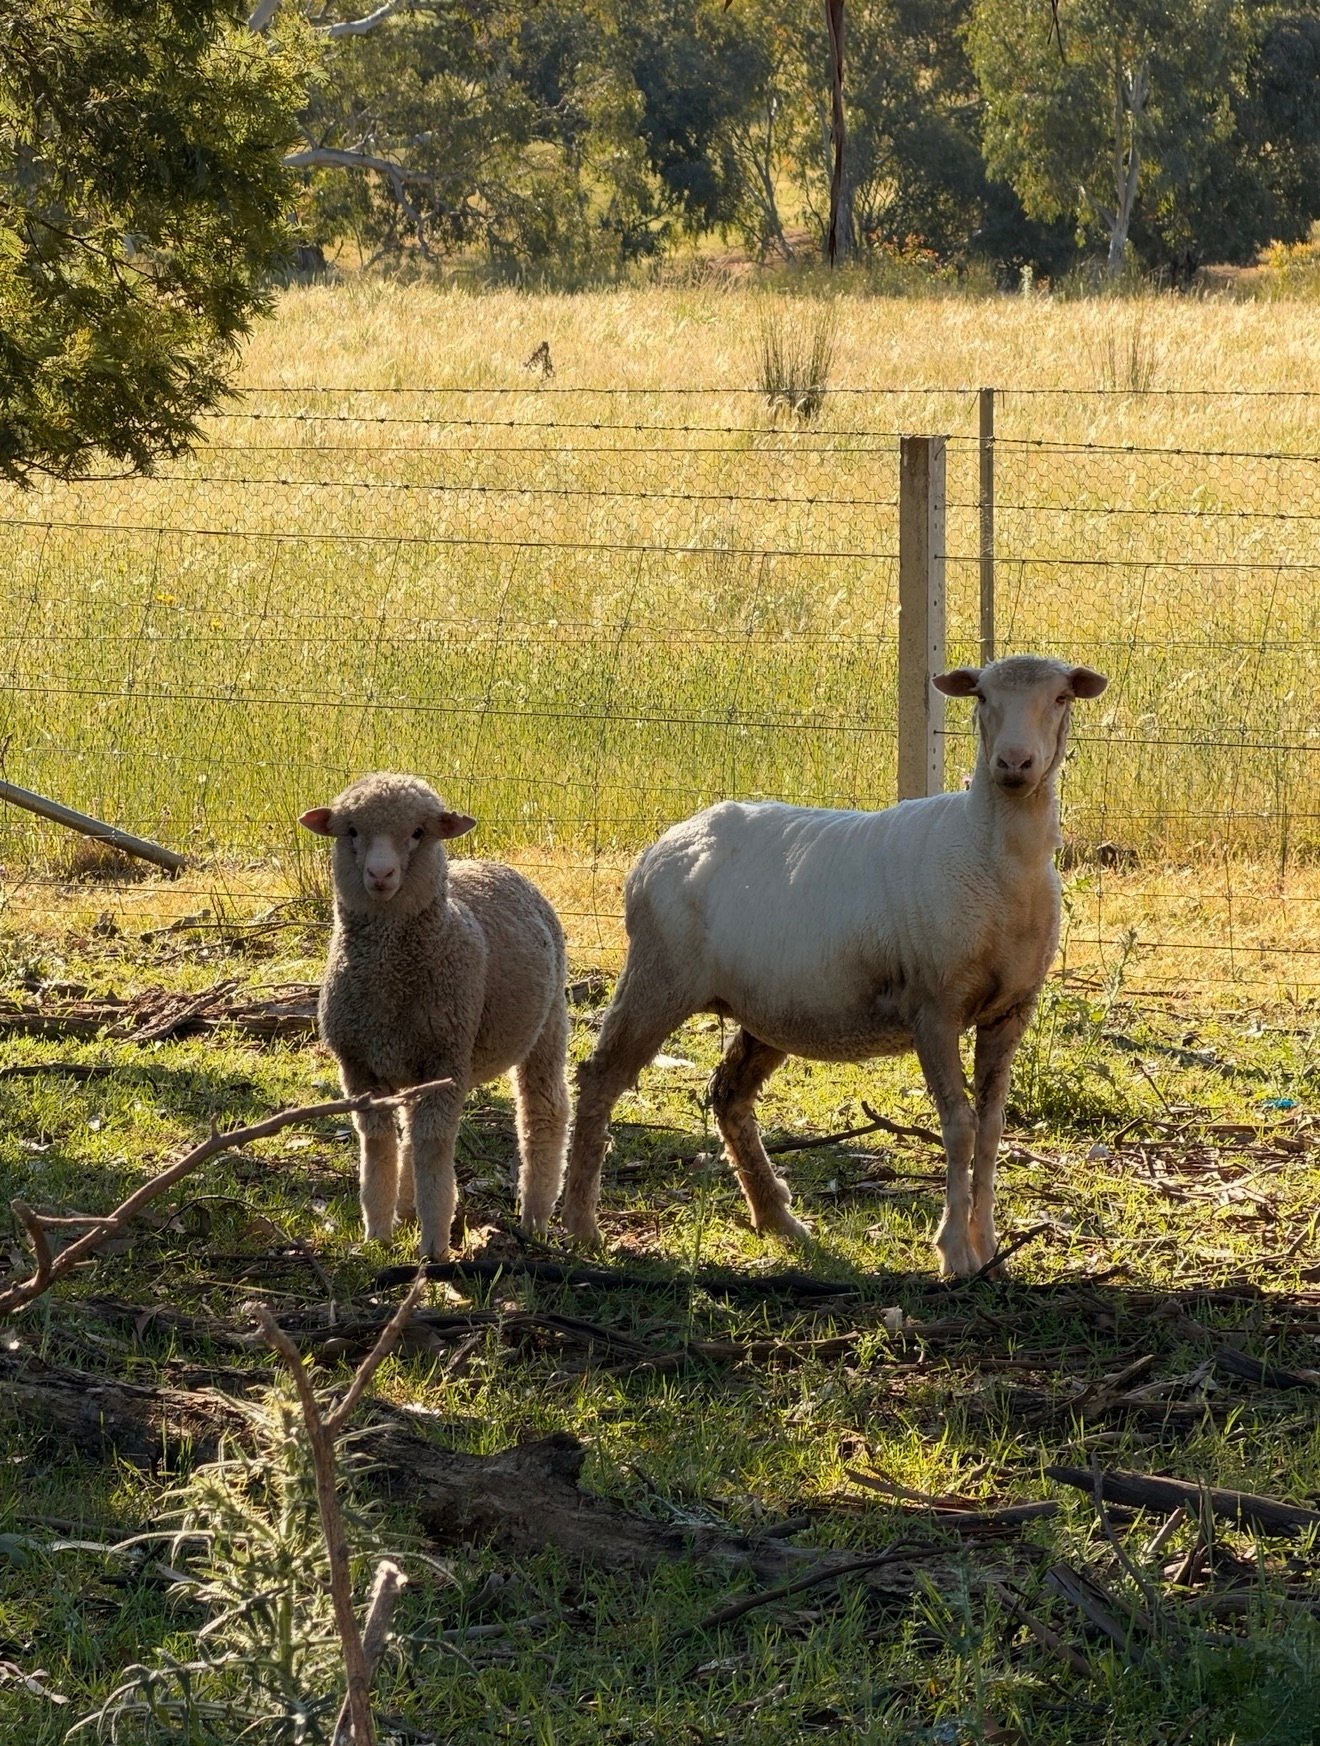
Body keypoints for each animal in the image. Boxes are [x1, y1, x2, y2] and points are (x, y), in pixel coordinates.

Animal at [299, 772, 570, 1260]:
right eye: (351, 832)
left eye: (418, 833)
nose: (380, 875)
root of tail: (496, 864)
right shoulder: (360, 1066)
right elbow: (379, 1147)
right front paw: (377, 1235)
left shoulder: (447, 1061)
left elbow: (433, 1147)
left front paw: (433, 1248)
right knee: (408, 1130)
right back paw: (406, 1211)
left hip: (549, 1021)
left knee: (544, 1110)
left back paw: (536, 1216)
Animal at [559, 654, 1108, 1279]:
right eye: (983, 697)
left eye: (1062, 697)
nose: (1014, 764)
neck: (992, 855)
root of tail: (660, 847)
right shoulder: (934, 1008)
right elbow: (960, 1126)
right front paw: (954, 1251)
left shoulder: (1010, 1010)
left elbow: (992, 1127)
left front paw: (988, 1244)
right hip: (659, 972)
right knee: (600, 1078)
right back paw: (581, 1225)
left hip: (767, 1007)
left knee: (727, 1093)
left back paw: (778, 1219)